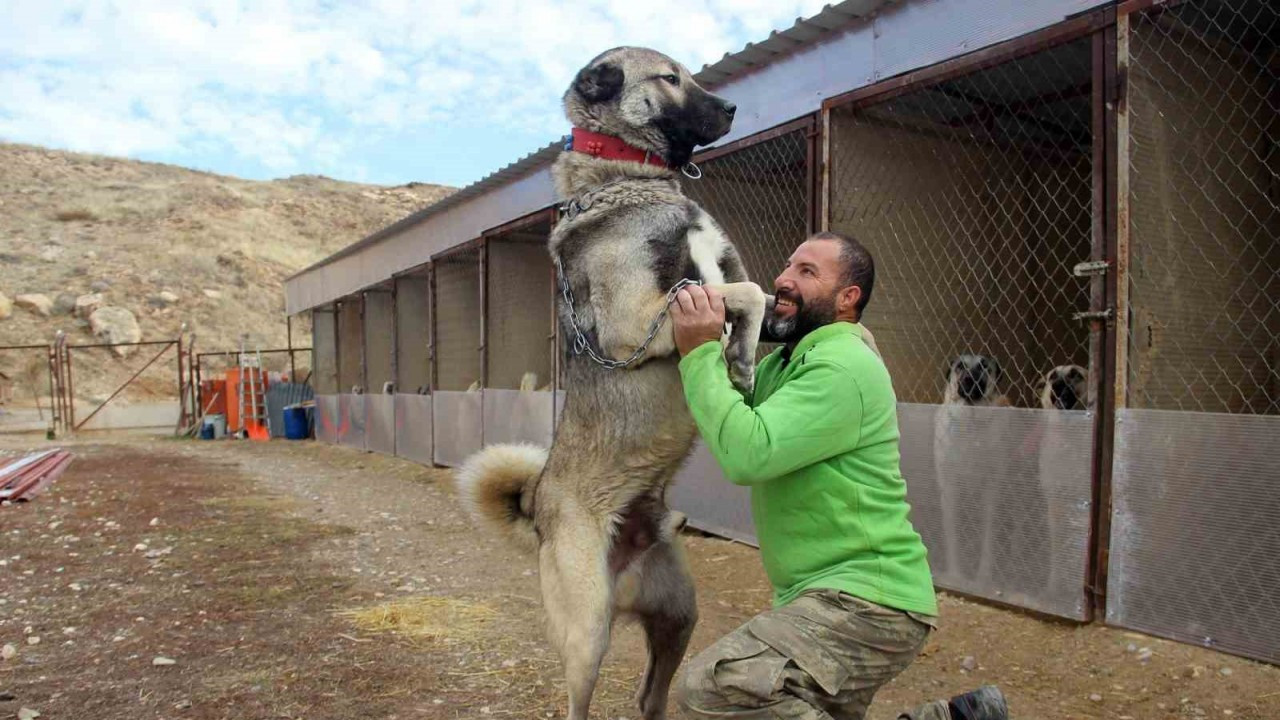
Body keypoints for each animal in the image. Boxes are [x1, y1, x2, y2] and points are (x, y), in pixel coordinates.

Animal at [455, 47, 762, 712]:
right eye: (669, 79)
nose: (732, 107)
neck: (628, 180)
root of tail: (538, 505)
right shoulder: (639, 322)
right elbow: (747, 295)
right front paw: (741, 358)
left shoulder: (722, 277)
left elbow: (760, 293)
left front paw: (746, 359)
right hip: (588, 630)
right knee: (579, 701)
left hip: (679, 618)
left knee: (649, 698)